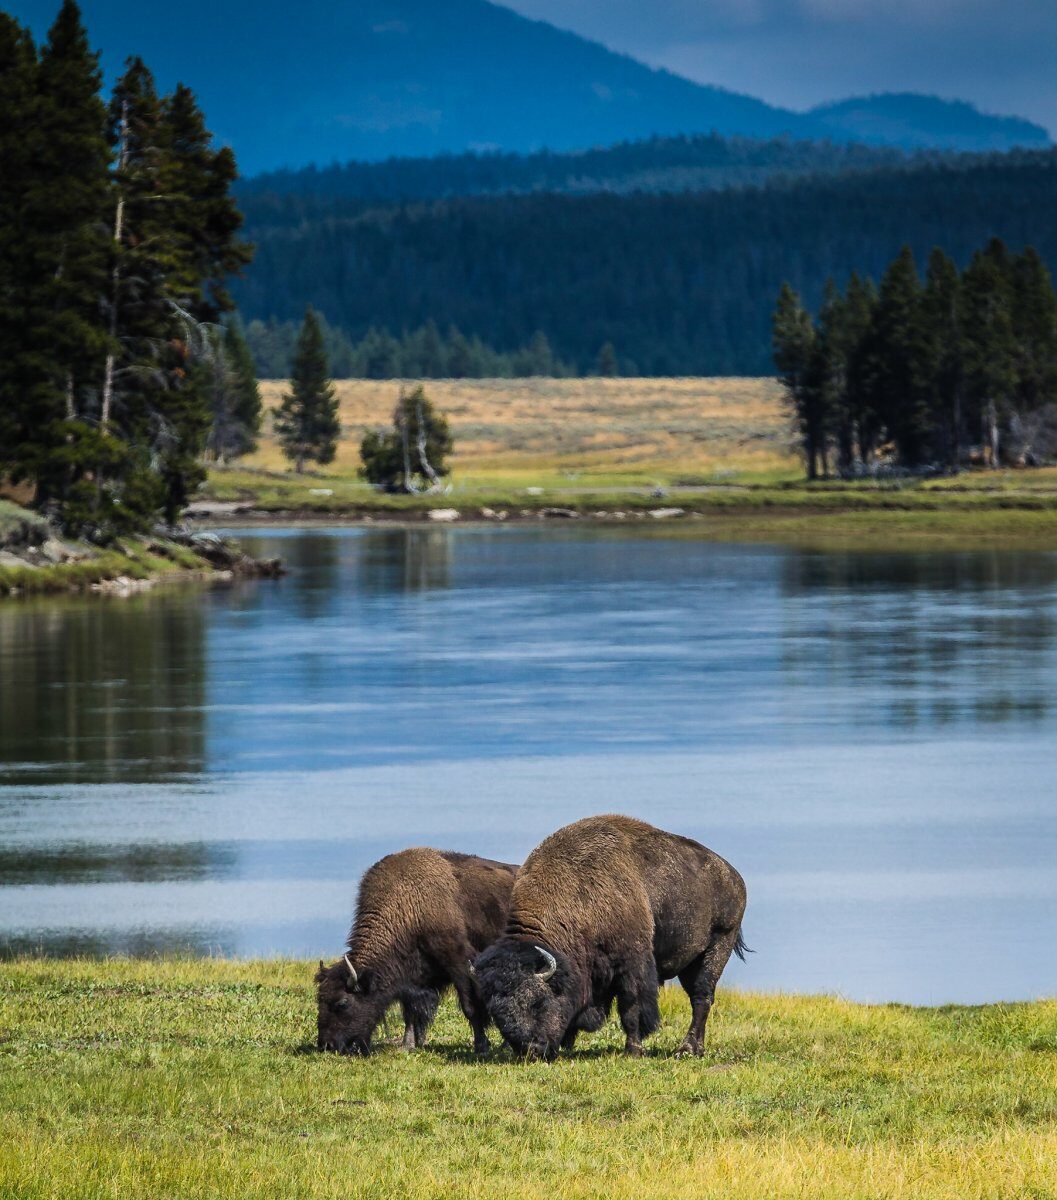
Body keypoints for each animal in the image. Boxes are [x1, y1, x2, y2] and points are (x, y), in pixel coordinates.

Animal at [314, 849, 518, 1056]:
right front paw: (408, 1045)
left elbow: (470, 1007)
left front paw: (481, 1047)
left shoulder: (459, 964)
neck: (409, 906)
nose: (326, 1045)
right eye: (319, 1000)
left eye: (342, 1003)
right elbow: (410, 1012)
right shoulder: (410, 979)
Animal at [470, 816, 743, 1060]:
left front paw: (633, 1051)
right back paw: (696, 1049)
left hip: (717, 946)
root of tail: (734, 877)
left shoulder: (632, 965)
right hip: (689, 963)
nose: (529, 1051)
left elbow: (631, 1007)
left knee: (701, 998)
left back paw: (686, 1050)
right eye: (495, 1012)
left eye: (537, 1002)